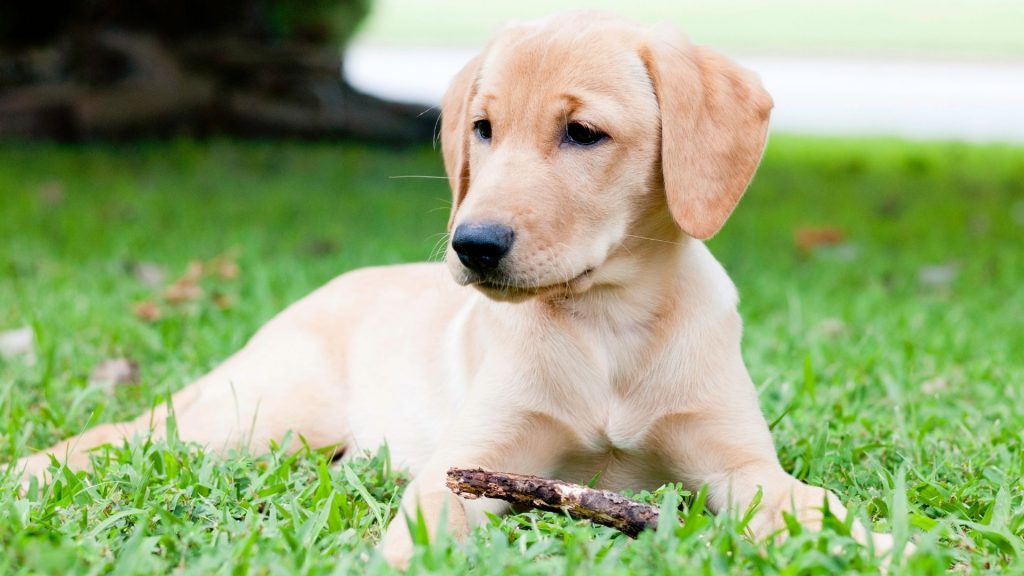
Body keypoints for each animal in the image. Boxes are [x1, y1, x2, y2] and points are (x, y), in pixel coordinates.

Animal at [12, 11, 901, 565]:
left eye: (584, 133)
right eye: (483, 128)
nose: (472, 246)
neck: (608, 323)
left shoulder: (738, 466)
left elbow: (809, 503)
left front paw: (881, 544)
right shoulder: (473, 462)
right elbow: (423, 527)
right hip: (261, 415)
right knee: (131, 430)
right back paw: (31, 469)